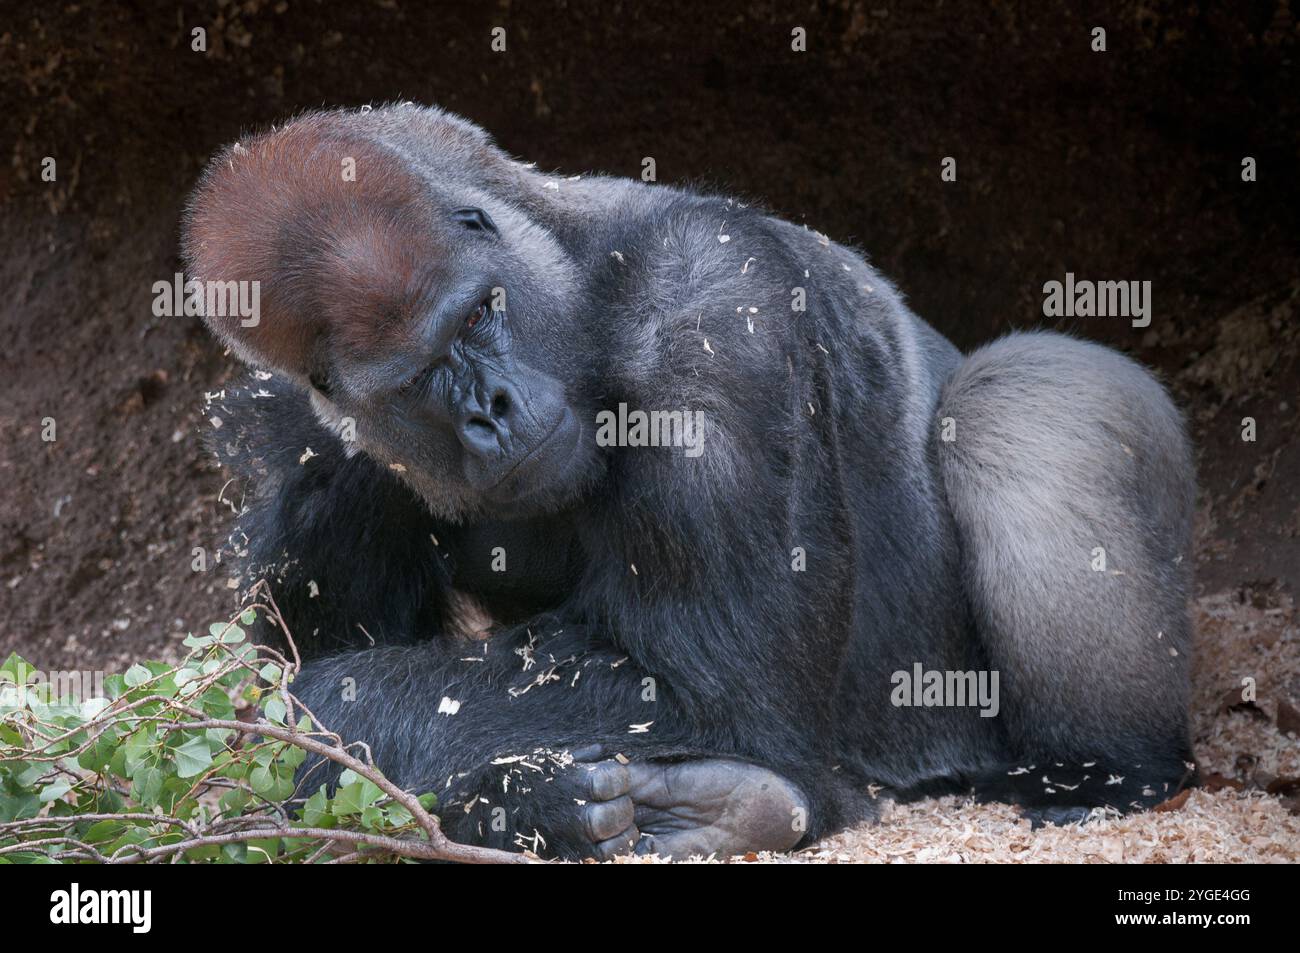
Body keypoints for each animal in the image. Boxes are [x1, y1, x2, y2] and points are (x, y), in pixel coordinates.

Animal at [185, 105, 1196, 863]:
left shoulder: (717, 303)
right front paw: (519, 803)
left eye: (478, 314)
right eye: (414, 381)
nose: (494, 410)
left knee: (1022, 400)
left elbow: (715, 695)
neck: (570, 261)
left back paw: (1102, 772)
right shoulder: (312, 431)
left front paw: (286, 718)